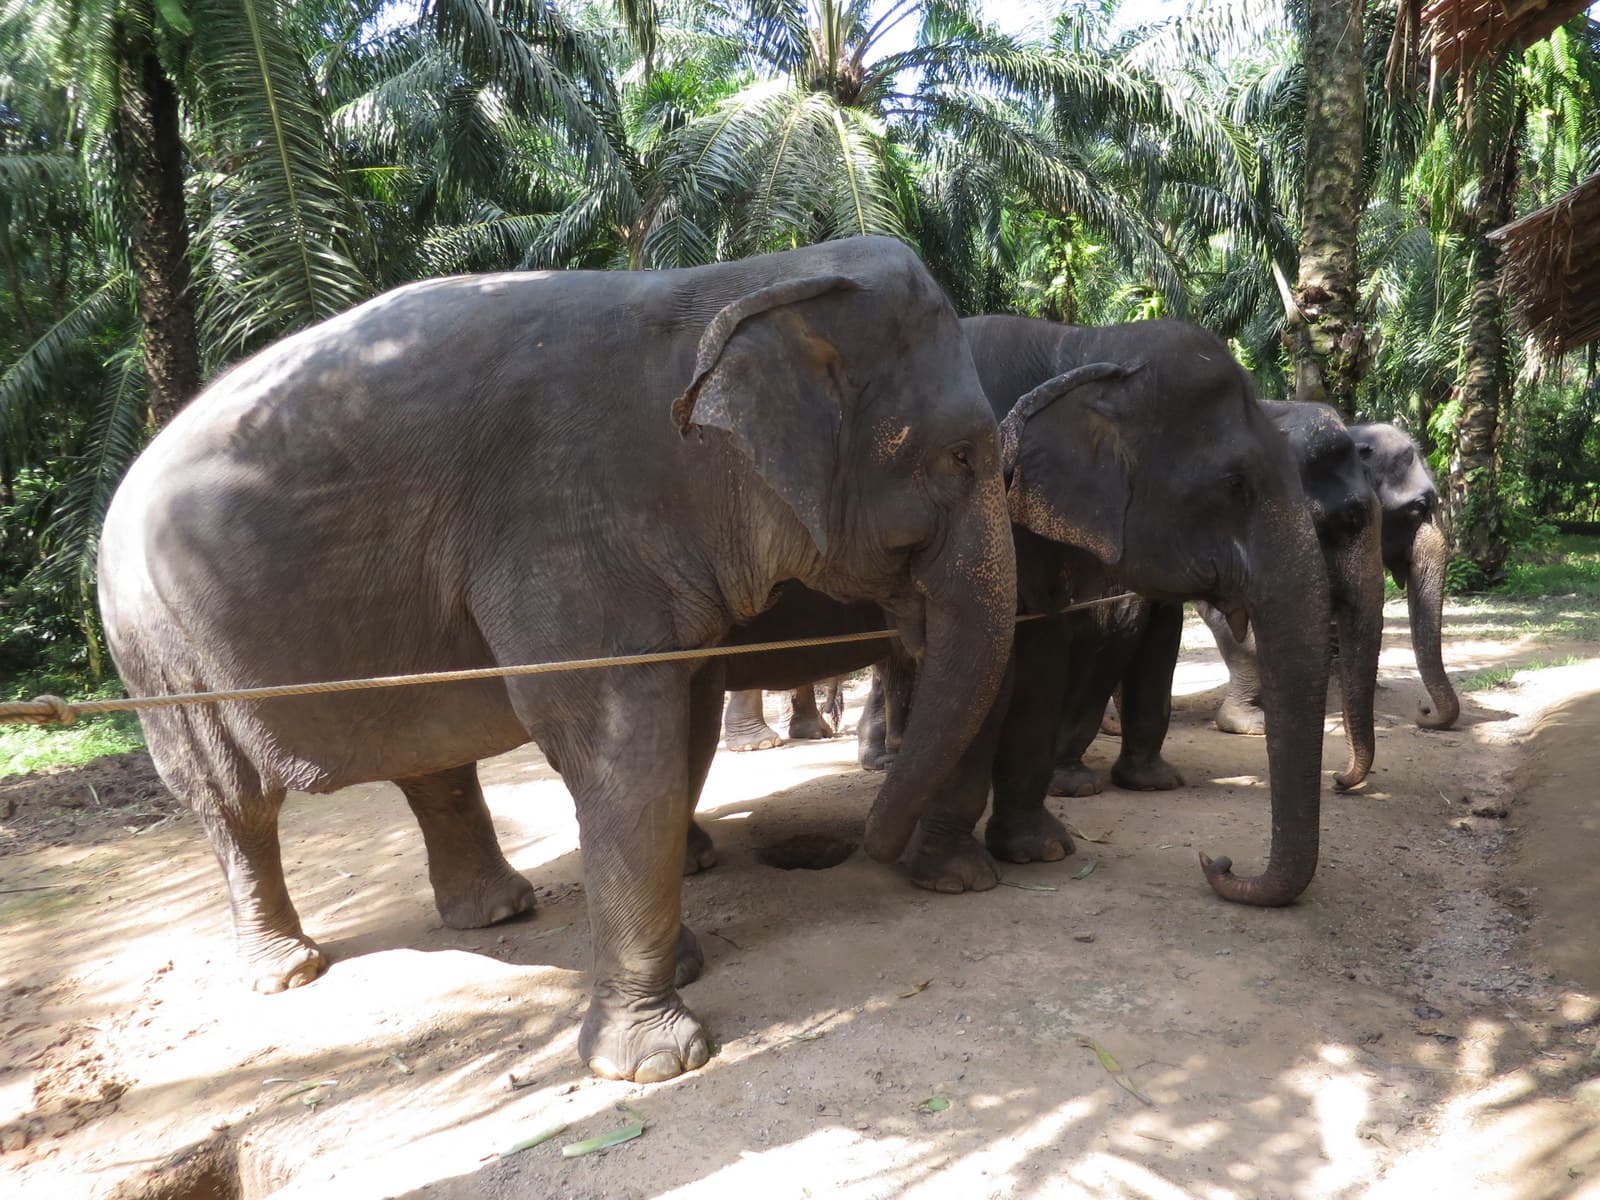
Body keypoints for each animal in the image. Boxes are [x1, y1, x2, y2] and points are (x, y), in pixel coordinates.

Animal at [100, 236, 1017, 1088]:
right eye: (960, 457)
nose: (875, 846)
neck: (742, 281)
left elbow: (680, 728)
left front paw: (680, 967)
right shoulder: (568, 518)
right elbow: (623, 742)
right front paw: (659, 1060)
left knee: (431, 760)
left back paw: (498, 912)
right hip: (160, 653)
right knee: (233, 801)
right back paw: (290, 971)